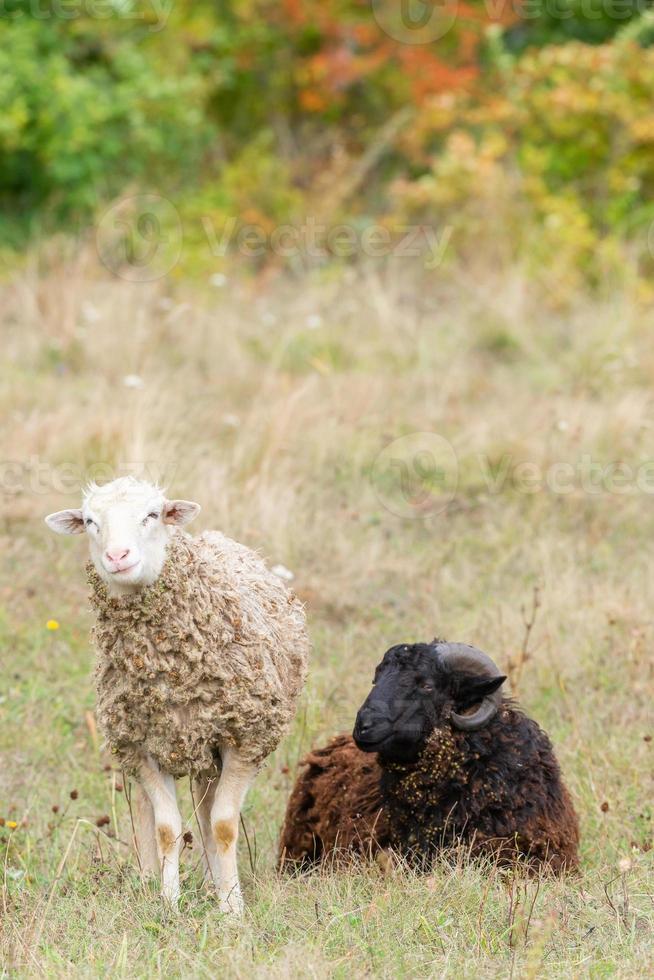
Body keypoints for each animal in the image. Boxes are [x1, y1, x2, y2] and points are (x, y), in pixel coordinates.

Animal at [47, 478, 312, 916]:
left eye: (153, 514)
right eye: (89, 522)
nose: (117, 556)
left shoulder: (244, 740)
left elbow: (223, 826)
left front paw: (231, 908)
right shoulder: (142, 746)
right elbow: (167, 828)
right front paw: (168, 904)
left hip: (211, 746)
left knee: (206, 812)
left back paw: (213, 882)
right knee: (156, 810)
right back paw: (153, 879)